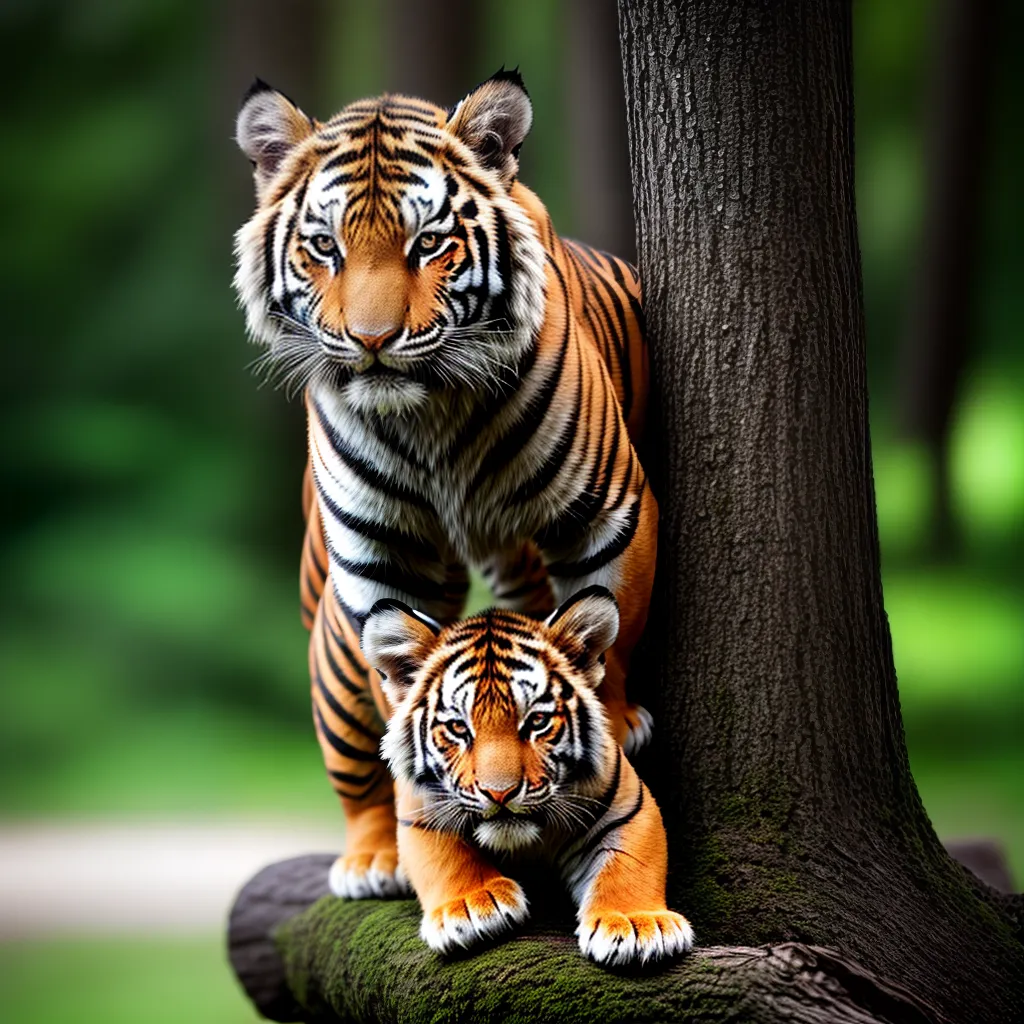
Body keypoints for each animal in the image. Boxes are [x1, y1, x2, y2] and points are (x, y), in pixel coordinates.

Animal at [233, 70, 662, 937]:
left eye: (428, 243)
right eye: (324, 246)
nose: (371, 342)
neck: (430, 416)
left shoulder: (610, 507)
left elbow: (612, 623)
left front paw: (609, 727)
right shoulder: (378, 561)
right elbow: (403, 702)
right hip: (333, 648)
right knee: (353, 760)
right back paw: (373, 857)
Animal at [362, 586, 693, 963]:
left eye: (537, 721)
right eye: (459, 728)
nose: (500, 794)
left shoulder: (630, 806)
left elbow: (629, 863)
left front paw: (636, 923)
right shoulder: (421, 811)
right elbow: (446, 858)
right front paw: (473, 906)